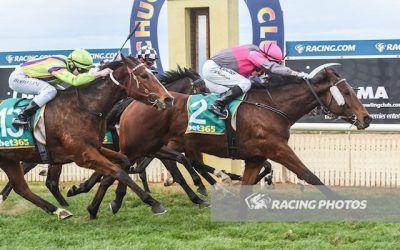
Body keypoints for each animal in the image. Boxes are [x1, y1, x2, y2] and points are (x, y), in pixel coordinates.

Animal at [0, 56, 172, 219]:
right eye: (144, 76)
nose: (168, 99)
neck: (83, 108)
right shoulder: (83, 155)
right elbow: (119, 172)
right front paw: (154, 203)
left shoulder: (96, 147)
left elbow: (124, 161)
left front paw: (92, 200)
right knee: (31, 185)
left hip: (10, 159)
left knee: (22, 188)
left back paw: (59, 211)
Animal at [85, 65, 376, 219]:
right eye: (347, 91)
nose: (367, 117)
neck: (271, 106)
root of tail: (136, 101)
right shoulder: (277, 148)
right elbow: (310, 175)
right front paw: (345, 205)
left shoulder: (255, 157)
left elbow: (249, 184)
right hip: (139, 145)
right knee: (117, 171)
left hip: (150, 146)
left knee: (121, 170)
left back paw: (100, 204)